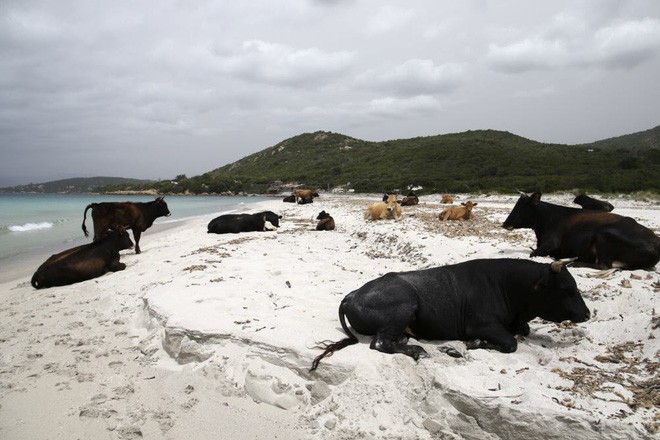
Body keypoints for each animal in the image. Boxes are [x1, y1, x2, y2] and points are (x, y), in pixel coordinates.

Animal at [310, 260, 592, 370]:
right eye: (567, 289)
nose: (588, 314)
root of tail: (353, 294)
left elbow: (521, 332)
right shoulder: (481, 324)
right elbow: (510, 343)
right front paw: (470, 345)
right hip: (405, 303)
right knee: (380, 342)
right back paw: (418, 350)